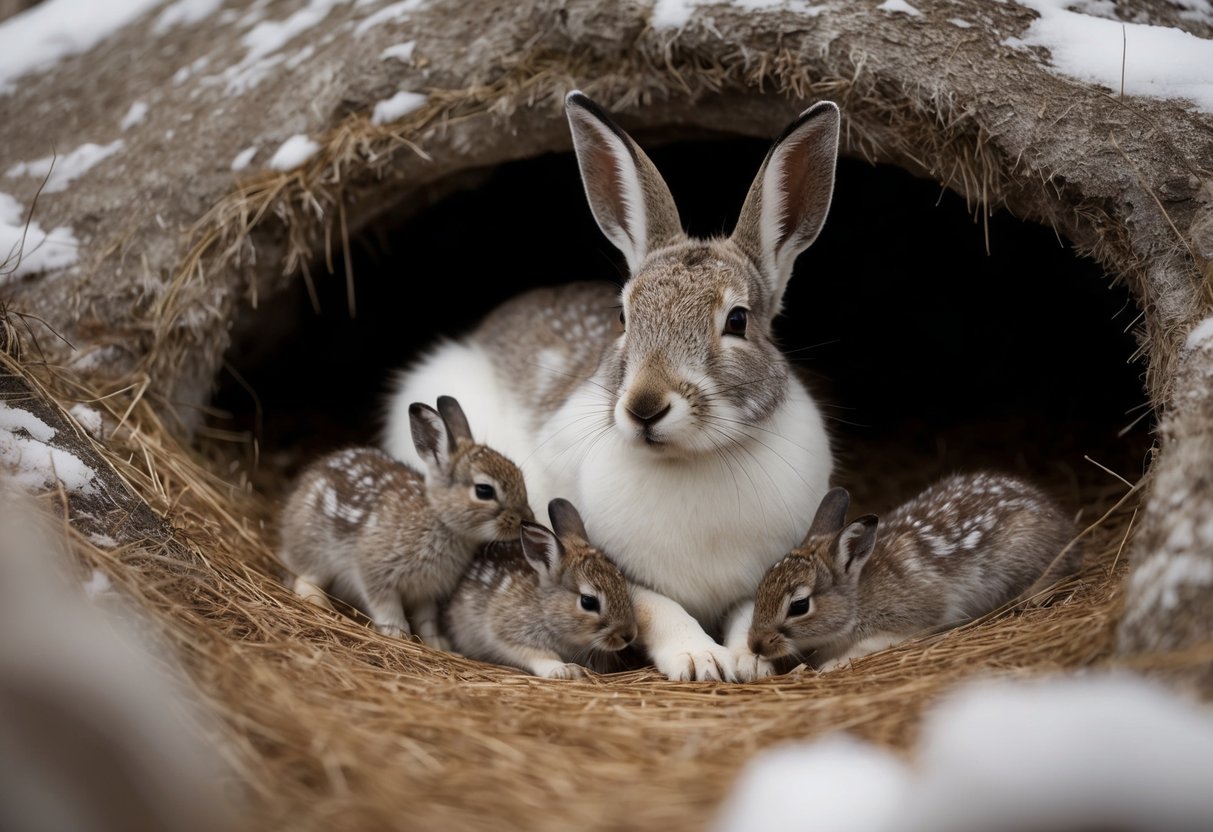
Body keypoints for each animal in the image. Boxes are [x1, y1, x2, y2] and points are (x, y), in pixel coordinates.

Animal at [277, 395, 533, 644]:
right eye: (484, 490)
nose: (526, 519)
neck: (441, 521)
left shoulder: (426, 592)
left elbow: (426, 618)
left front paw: (436, 642)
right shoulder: (374, 571)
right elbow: (386, 605)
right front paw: (397, 632)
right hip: (315, 551)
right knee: (304, 579)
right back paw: (322, 604)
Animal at [443, 497, 638, 679]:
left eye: (621, 581)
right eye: (588, 602)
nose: (628, 635)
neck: (544, 610)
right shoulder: (509, 632)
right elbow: (537, 654)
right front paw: (562, 671)